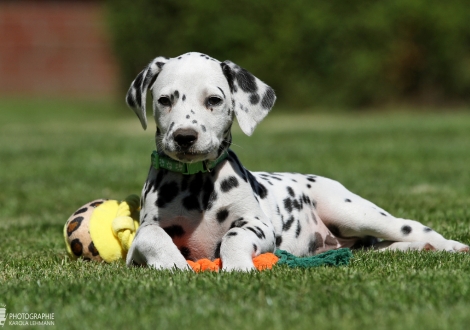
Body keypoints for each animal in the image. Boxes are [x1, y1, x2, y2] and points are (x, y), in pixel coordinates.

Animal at [124, 52, 466, 270]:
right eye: (164, 100)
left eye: (214, 100)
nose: (184, 137)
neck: (196, 184)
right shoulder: (147, 229)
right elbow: (153, 237)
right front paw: (172, 264)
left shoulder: (258, 226)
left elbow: (234, 236)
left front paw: (238, 266)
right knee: (378, 247)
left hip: (355, 212)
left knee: (411, 227)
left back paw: (449, 246)